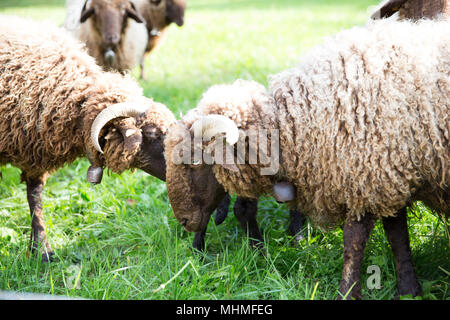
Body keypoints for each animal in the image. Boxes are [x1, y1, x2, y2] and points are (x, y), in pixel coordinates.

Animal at [166, 20, 450, 300]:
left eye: (194, 162)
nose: (185, 222)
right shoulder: (387, 174)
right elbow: (398, 235)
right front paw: (409, 291)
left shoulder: (367, 174)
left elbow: (355, 241)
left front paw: (347, 292)